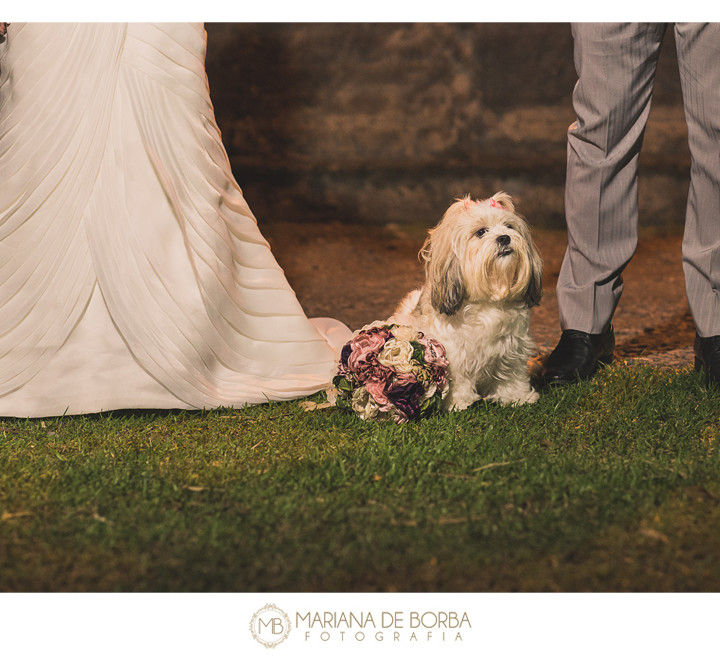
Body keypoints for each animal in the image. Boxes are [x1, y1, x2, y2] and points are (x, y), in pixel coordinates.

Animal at [390, 188, 544, 410]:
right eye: (480, 232)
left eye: (509, 226)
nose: (505, 238)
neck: (488, 302)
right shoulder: (453, 352)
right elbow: (459, 379)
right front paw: (458, 403)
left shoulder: (512, 348)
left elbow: (511, 374)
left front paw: (517, 397)